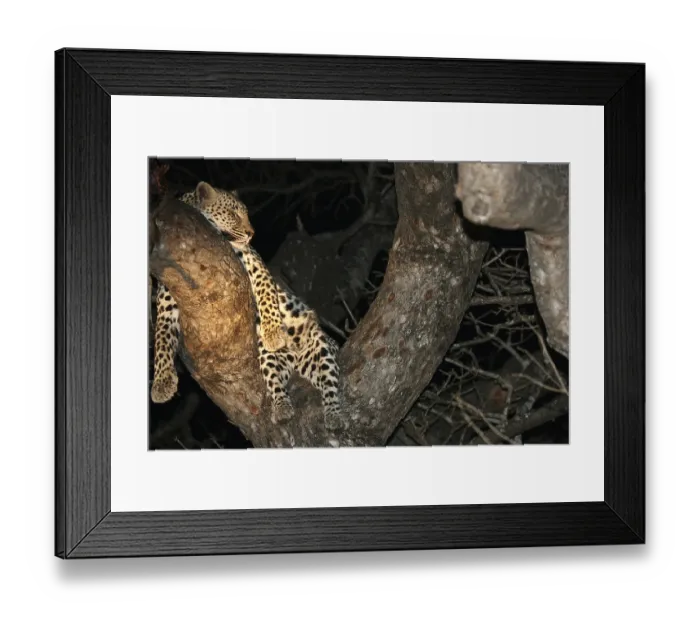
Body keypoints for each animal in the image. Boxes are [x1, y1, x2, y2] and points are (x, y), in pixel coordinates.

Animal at [150, 181, 342, 429]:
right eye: (233, 214)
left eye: (246, 215)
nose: (252, 233)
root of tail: (297, 356)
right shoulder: (166, 297)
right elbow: (161, 338)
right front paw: (161, 383)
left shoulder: (254, 263)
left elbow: (266, 295)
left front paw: (273, 333)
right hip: (272, 360)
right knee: (276, 381)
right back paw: (283, 407)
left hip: (318, 349)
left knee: (330, 384)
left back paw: (334, 413)